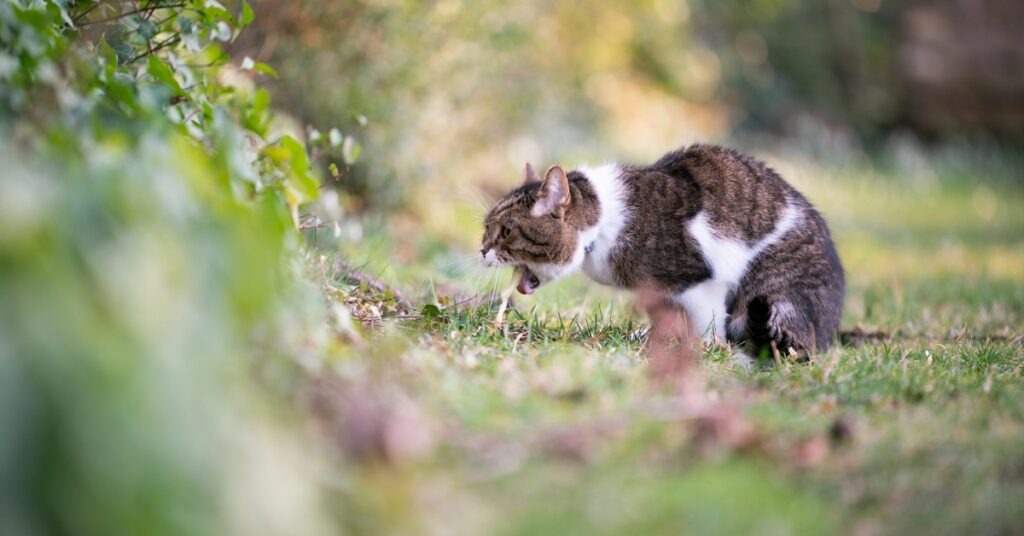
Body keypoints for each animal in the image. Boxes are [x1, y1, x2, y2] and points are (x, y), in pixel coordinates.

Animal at [483, 144, 843, 358]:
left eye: (505, 232)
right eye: (486, 228)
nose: (482, 250)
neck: (604, 223)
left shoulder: (702, 282)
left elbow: (706, 326)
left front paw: (701, 349)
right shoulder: (659, 292)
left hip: (774, 293)